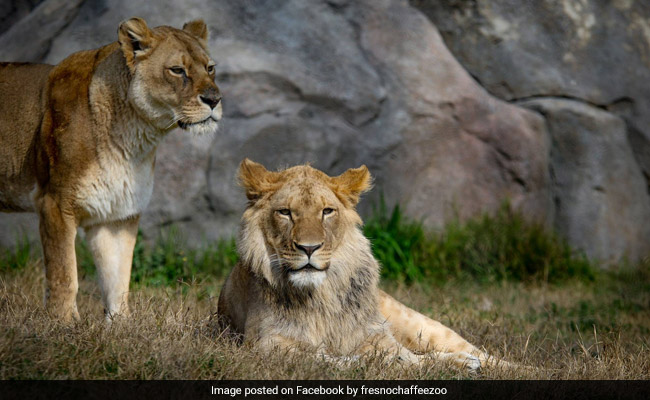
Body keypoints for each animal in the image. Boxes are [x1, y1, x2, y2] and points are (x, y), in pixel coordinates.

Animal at [0, 17, 222, 322]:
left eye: (210, 68)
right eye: (177, 70)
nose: (214, 99)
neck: (134, 139)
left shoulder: (116, 213)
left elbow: (117, 278)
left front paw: (121, 323)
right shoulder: (55, 203)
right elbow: (64, 273)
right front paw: (62, 323)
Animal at [217, 159, 519, 371]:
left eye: (327, 211)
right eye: (285, 212)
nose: (309, 248)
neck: (321, 296)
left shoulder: (377, 336)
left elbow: (415, 358)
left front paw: (459, 363)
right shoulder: (266, 346)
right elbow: (325, 358)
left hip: (419, 324)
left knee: (481, 353)